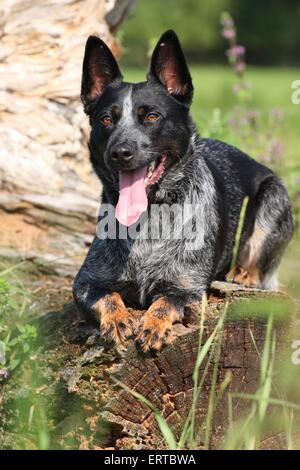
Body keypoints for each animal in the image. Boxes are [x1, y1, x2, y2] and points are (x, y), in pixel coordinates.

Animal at [73, 29, 296, 350]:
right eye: (106, 119)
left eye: (151, 116)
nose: (120, 152)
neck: (150, 218)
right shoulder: (85, 282)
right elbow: (106, 296)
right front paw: (117, 318)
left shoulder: (187, 287)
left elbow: (166, 301)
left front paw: (153, 325)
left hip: (273, 196)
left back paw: (244, 273)